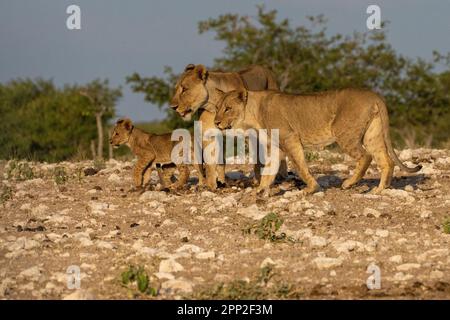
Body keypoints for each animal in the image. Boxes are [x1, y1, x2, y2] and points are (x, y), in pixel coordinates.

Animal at [214, 89, 422, 196]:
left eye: (228, 108)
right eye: (217, 108)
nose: (216, 122)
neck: (253, 113)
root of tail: (375, 96)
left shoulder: (290, 138)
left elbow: (301, 166)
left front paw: (311, 189)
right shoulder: (275, 146)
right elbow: (269, 171)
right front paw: (259, 190)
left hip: (343, 133)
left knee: (366, 156)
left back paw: (348, 183)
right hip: (373, 135)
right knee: (386, 160)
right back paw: (379, 189)